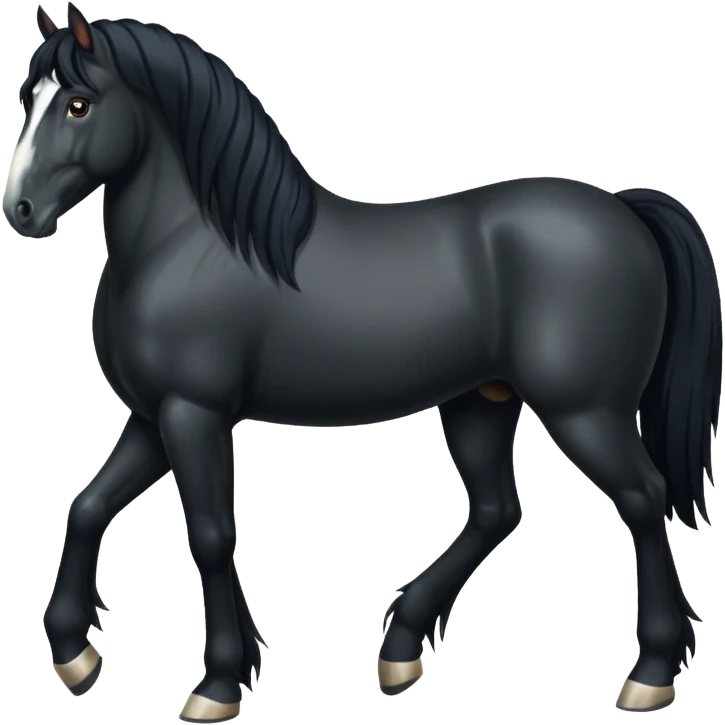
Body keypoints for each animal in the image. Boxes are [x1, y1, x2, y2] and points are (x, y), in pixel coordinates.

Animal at [4, 4, 721, 722]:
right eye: (26, 97)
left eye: (77, 103)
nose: (21, 211)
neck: (191, 244)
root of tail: (622, 207)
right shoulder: (156, 418)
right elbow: (89, 506)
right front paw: (75, 655)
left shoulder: (194, 414)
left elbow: (209, 534)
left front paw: (218, 684)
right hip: (481, 401)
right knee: (496, 510)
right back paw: (400, 649)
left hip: (584, 411)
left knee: (642, 497)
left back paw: (650, 673)